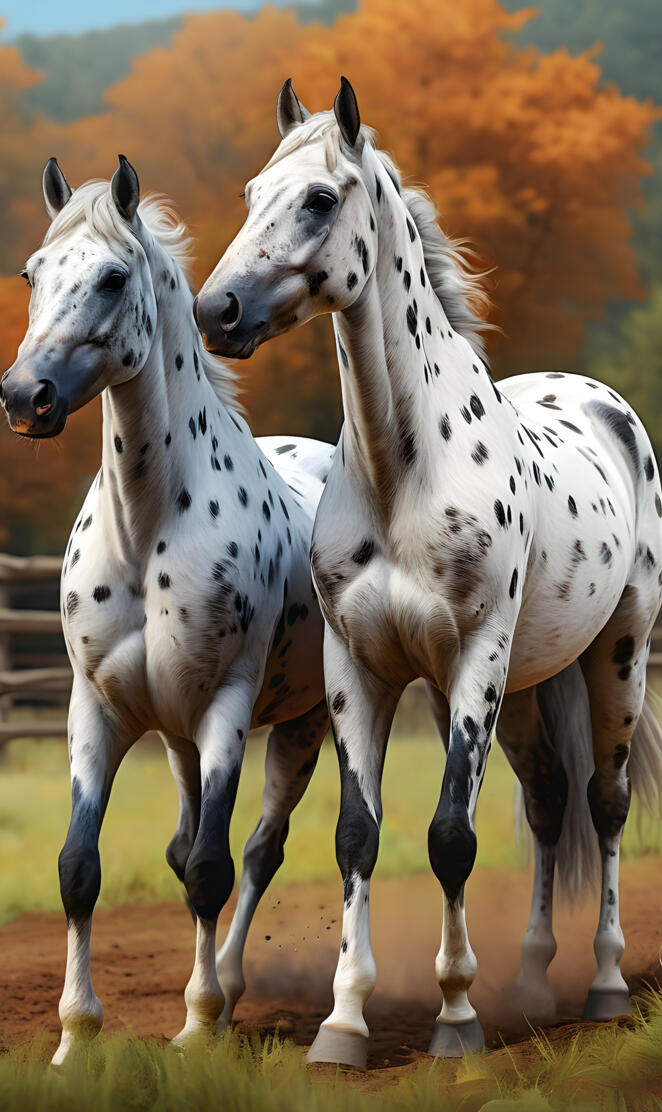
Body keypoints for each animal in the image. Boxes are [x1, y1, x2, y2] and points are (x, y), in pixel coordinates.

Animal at [0, 155, 335, 1065]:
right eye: (34, 273)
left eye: (113, 278)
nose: (24, 397)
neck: (150, 529)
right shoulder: (98, 710)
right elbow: (80, 868)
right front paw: (75, 1038)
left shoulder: (225, 710)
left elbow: (214, 871)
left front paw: (198, 1023)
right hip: (179, 735)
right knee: (190, 849)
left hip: (302, 726)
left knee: (257, 851)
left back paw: (230, 992)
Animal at [194, 78, 662, 1067]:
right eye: (252, 193)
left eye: (318, 199)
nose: (217, 311)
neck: (401, 473)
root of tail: (602, 403)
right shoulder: (358, 671)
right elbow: (357, 836)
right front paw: (342, 1024)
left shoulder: (473, 661)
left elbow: (451, 837)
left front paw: (456, 1019)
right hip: (530, 685)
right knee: (550, 803)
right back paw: (533, 978)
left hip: (617, 654)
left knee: (603, 805)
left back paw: (602, 985)